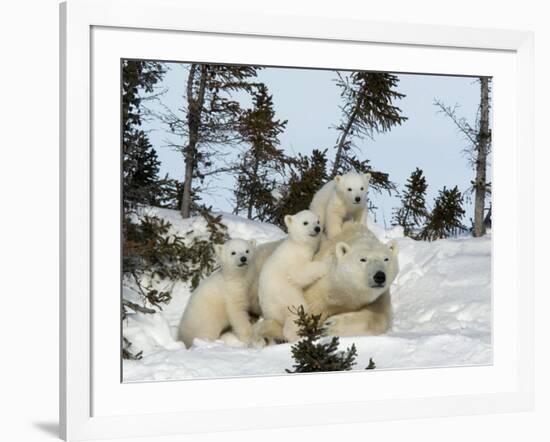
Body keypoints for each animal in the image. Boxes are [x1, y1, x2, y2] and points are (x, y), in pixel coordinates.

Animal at [258, 210, 330, 342]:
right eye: (305, 222)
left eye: (317, 221)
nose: (317, 229)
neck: (298, 244)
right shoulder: (293, 260)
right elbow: (299, 274)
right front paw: (326, 265)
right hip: (286, 297)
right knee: (296, 313)